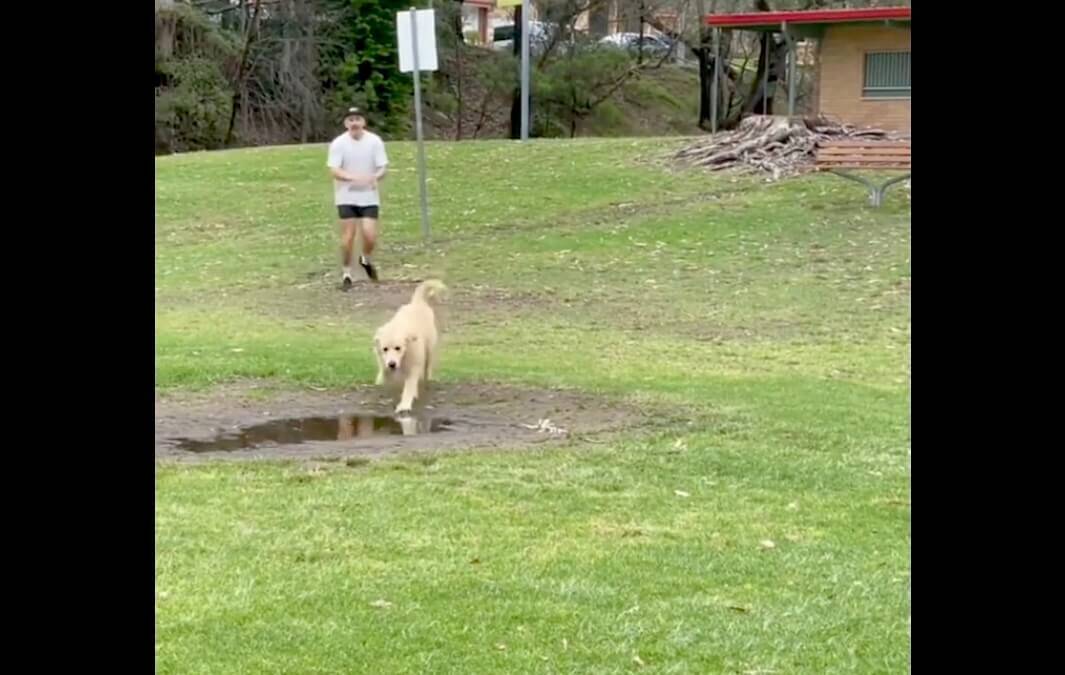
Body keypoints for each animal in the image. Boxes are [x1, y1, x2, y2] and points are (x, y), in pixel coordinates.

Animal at [374, 276, 445, 410]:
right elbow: (384, 372)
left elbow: (409, 386)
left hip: (429, 349)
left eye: (398, 348)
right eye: (385, 349)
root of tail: (417, 303)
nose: (392, 364)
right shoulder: (384, 360)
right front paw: (381, 379)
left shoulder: (413, 365)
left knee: (427, 367)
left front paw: (404, 405)